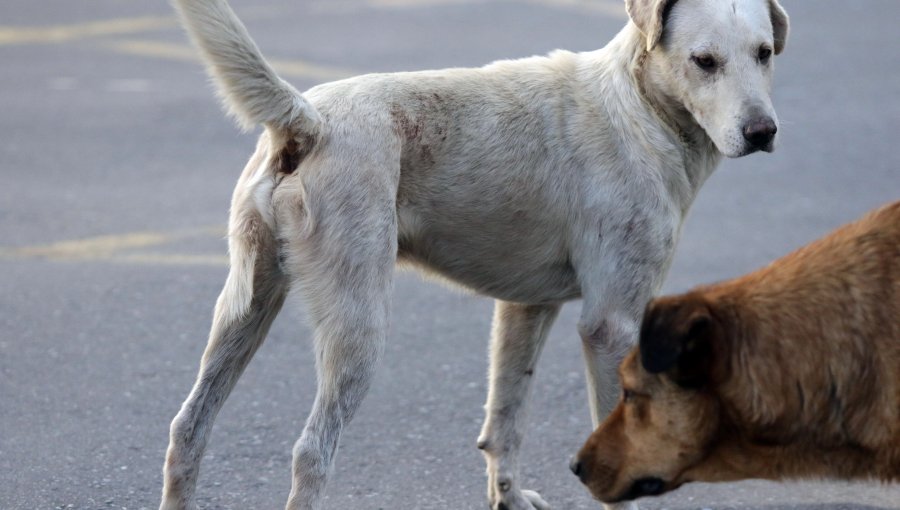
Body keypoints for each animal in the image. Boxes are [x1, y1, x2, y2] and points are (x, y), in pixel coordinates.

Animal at [160, 0, 788, 510]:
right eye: (704, 61)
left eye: (763, 53)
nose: (763, 132)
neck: (636, 107)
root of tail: (308, 121)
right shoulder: (612, 327)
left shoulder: (525, 309)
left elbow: (504, 422)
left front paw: (506, 496)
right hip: (356, 333)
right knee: (311, 453)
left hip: (243, 312)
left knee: (188, 429)